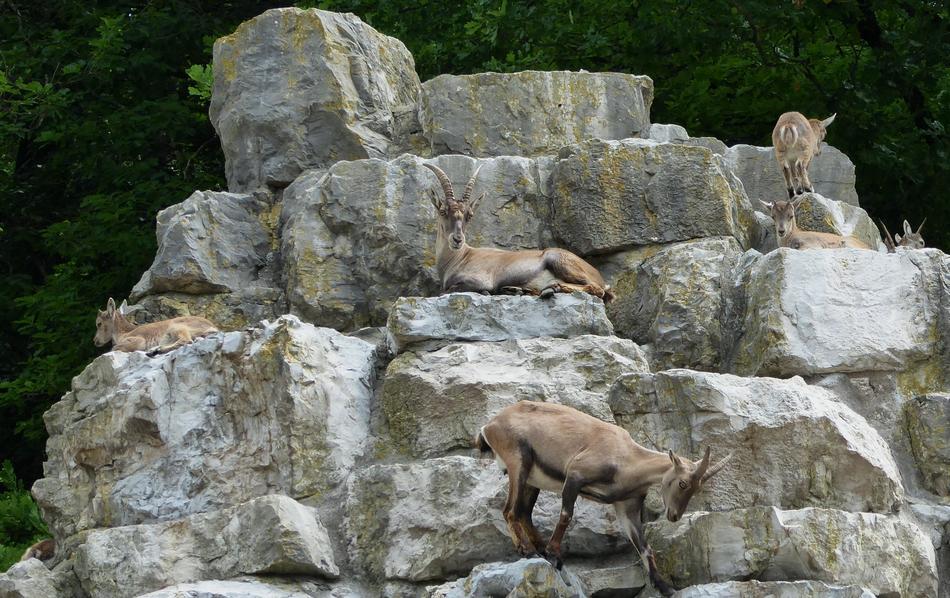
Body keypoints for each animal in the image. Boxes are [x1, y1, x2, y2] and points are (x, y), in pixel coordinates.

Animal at [422, 162, 614, 302]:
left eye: (469, 215)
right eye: (443, 211)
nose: (457, 239)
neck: (459, 258)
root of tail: (599, 276)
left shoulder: (479, 279)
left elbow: (447, 291)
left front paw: (487, 292)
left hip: (558, 260)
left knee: (595, 289)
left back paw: (554, 287)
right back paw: (521, 290)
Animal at [476, 401, 732, 597]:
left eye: (697, 489)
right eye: (683, 483)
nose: (675, 516)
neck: (627, 460)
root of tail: (489, 426)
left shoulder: (626, 507)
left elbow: (644, 547)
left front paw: (664, 586)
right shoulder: (575, 476)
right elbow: (566, 515)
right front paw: (555, 555)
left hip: (531, 479)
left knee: (524, 513)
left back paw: (538, 549)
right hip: (518, 461)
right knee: (510, 511)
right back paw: (528, 550)